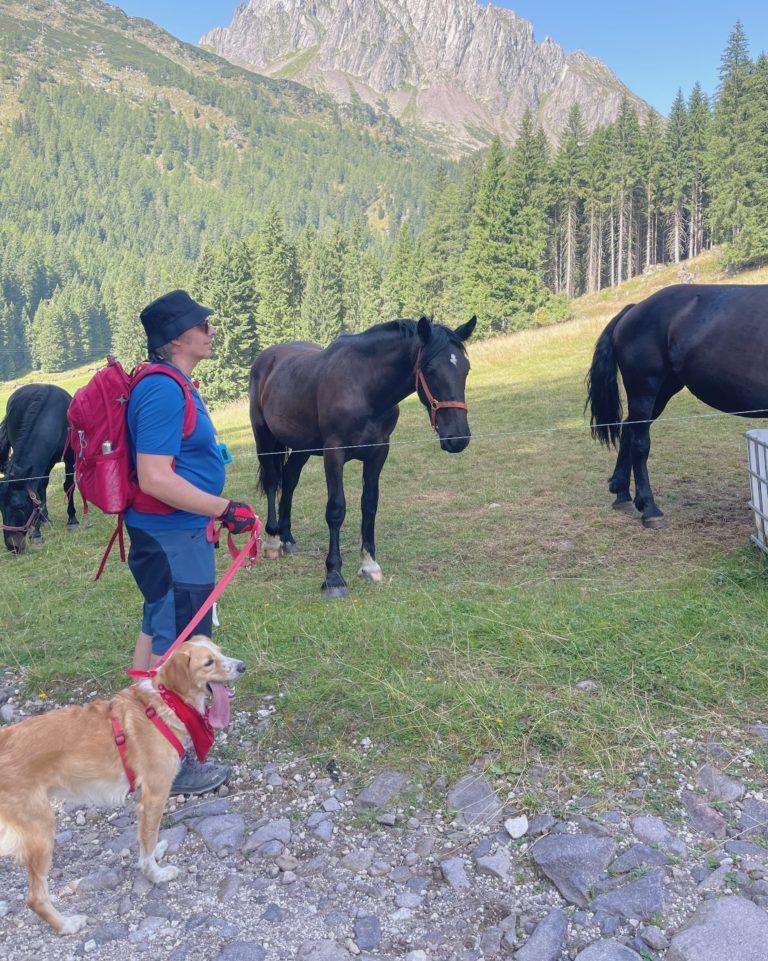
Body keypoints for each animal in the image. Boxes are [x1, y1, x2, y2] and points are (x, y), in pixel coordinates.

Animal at [0, 632, 244, 932]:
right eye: (209, 662)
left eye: (220, 652)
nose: (242, 666)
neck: (166, 702)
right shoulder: (154, 797)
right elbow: (147, 843)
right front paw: (155, 874)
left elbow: (147, 840)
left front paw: (155, 854)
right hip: (40, 829)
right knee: (35, 897)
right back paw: (66, 925)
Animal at [248, 316, 474, 596]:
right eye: (430, 370)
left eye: (466, 369)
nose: (458, 438)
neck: (364, 387)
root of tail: (266, 358)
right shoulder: (334, 454)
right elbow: (336, 509)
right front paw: (333, 576)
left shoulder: (378, 452)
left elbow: (369, 504)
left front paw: (369, 565)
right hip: (264, 438)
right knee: (272, 481)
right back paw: (273, 540)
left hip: (302, 447)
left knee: (289, 481)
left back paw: (287, 538)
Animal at [588, 282, 768, 528]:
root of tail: (634, 309)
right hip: (645, 389)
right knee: (640, 443)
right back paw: (650, 509)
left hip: (662, 392)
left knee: (628, 430)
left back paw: (623, 495)